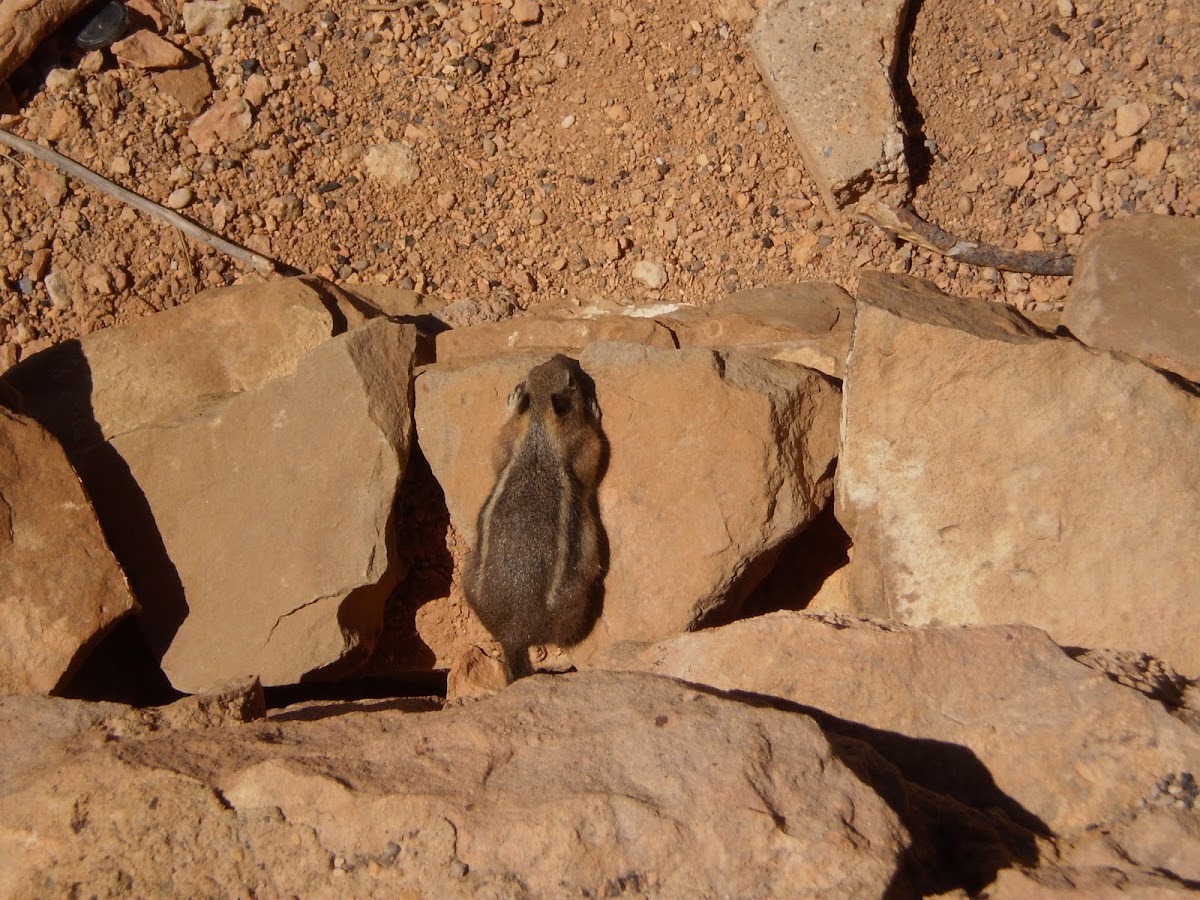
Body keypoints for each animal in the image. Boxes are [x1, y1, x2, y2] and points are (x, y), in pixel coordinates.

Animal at [464, 354, 606, 680]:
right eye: (571, 382)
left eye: (535, 370)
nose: (563, 357)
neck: (538, 432)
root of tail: (513, 634)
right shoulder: (582, 445)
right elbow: (594, 458)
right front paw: (593, 411)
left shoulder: (507, 441)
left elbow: (497, 450)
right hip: (574, 603)